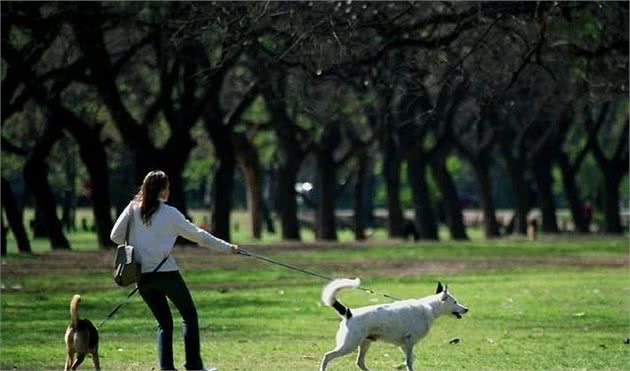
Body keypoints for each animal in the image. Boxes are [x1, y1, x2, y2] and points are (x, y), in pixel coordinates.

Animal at [320, 280, 470, 371]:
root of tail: (348, 313)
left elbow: (410, 360)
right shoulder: (409, 342)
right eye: (455, 302)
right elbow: (409, 361)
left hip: (364, 343)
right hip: (349, 345)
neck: (429, 307)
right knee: (327, 356)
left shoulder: (405, 345)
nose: (466, 309)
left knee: (360, 362)